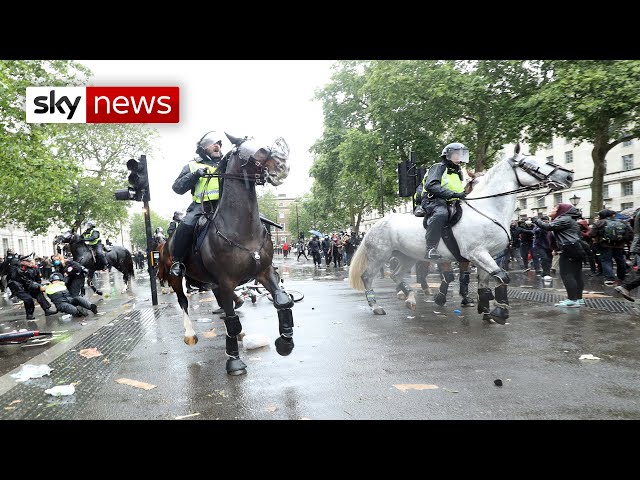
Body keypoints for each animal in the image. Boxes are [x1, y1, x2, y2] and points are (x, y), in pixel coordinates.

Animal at [159, 133, 294, 376]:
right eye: (258, 149)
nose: (283, 165)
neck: (242, 230)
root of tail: (166, 241)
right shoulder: (227, 280)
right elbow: (231, 319)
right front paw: (234, 361)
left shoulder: (264, 271)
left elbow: (282, 301)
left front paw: (285, 342)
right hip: (176, 278)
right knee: (183, 301)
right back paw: (190, 335)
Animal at [350, 142, 576, 322]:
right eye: (529, 163)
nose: (568, 175)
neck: (487, 209)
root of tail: (377, 224)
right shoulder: (477, 253)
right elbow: (503, 277)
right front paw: (500, 312)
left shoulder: (486, 255)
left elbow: (487, 282)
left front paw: (486, 309)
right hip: (380, 255)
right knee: (367, 277)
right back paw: (377, 306)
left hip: (407, 256)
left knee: (396, 275)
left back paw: (410, 298)